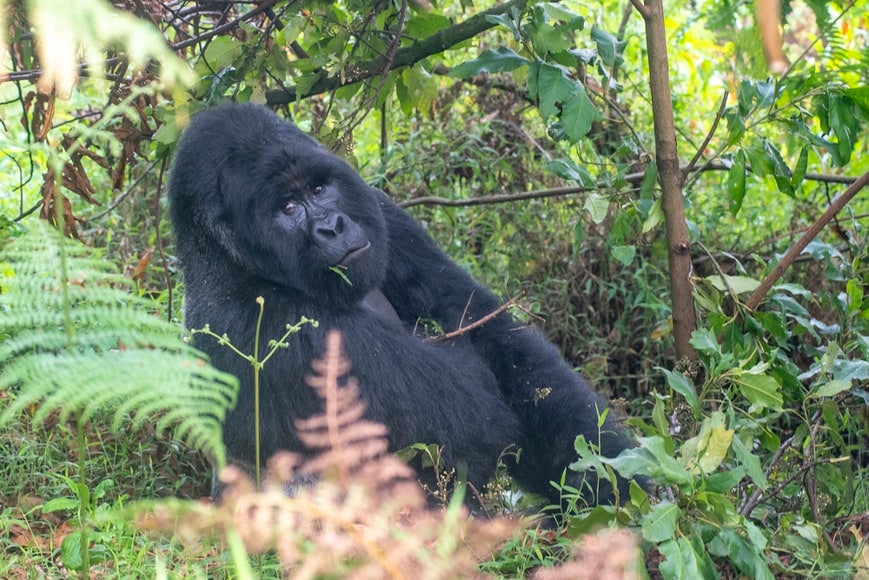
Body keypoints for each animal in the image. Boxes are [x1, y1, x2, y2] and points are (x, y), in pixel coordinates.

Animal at [166, 104, 636, 508]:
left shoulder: (382, 212)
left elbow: (496, 339)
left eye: (319, 188)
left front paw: (609, 478)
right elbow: (474, 421)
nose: (331, 227)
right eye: (288, 208)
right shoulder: (272, 328)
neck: (226, 258)